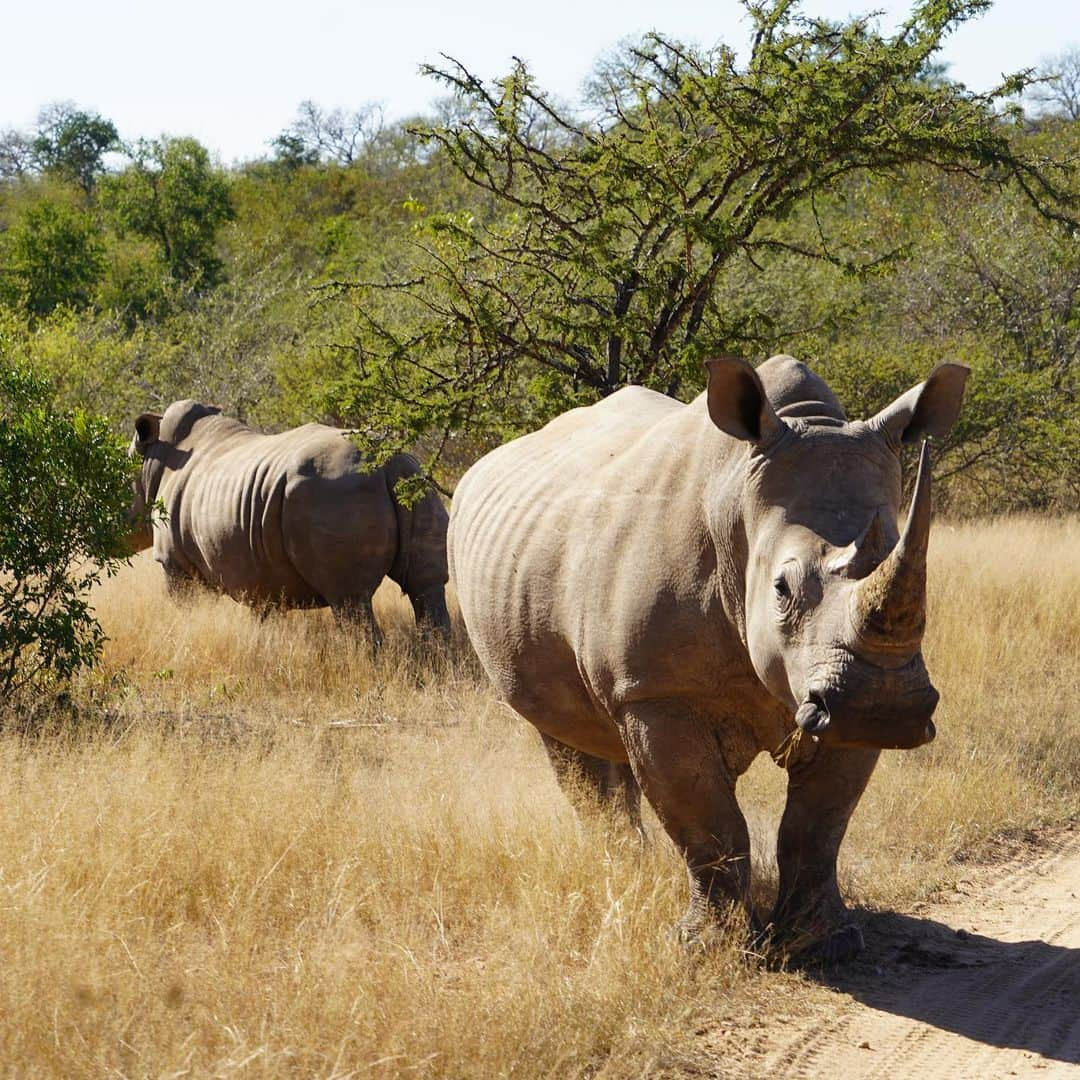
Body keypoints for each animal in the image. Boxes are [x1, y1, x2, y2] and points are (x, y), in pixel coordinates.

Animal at [130, 403, 451, 639]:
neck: (153, 460)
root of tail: (387, 463)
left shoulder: (174, 562)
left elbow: (187, 607)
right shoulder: (259, 570)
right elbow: (264, 614)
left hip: (333, 493)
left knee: (349, 600)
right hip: (413, 477)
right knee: (427, 587)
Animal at [449, 354, 972, 963]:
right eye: (781, 589)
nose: (885, 708)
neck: (738, 513)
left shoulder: (835, 700)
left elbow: (818, 826)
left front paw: (823, 944)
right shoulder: (655, 692)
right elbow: (710, 823)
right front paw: (709, 949)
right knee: (561, 736)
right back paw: (620, 875)